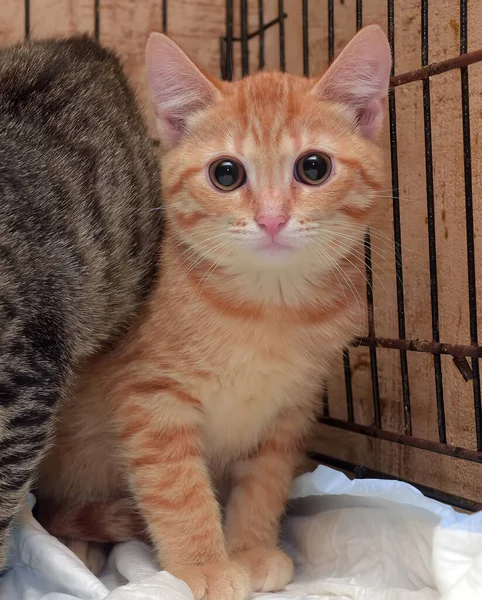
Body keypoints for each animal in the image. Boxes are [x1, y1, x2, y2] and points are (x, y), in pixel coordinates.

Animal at [36, 24, 392, 600]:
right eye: (226, 174)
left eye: (313, 167)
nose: (272, 219)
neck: (267, 309)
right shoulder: (152, 399)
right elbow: (178, 490)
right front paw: (202, 566)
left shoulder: (289, 409)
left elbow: (265, 482)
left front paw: (249, 550)